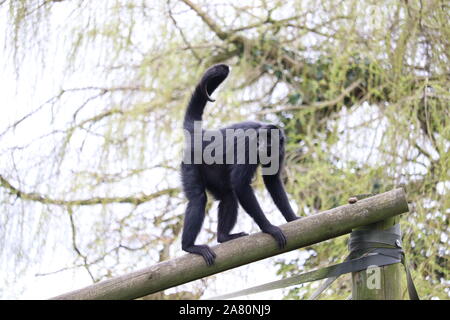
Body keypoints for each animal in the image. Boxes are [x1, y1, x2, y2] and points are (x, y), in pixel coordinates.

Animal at [179, 63, 298, 264]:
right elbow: (241, 184)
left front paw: (292, 218)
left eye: (268, 142)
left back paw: (224, 237)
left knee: (228, 195)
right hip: (190, 163)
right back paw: (189, 247)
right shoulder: (248, 147)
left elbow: (272, 180)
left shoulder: (280, 150)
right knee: (198, 198)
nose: (261, 146)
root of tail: (201, 135)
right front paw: (269, 228)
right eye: (259, 141)